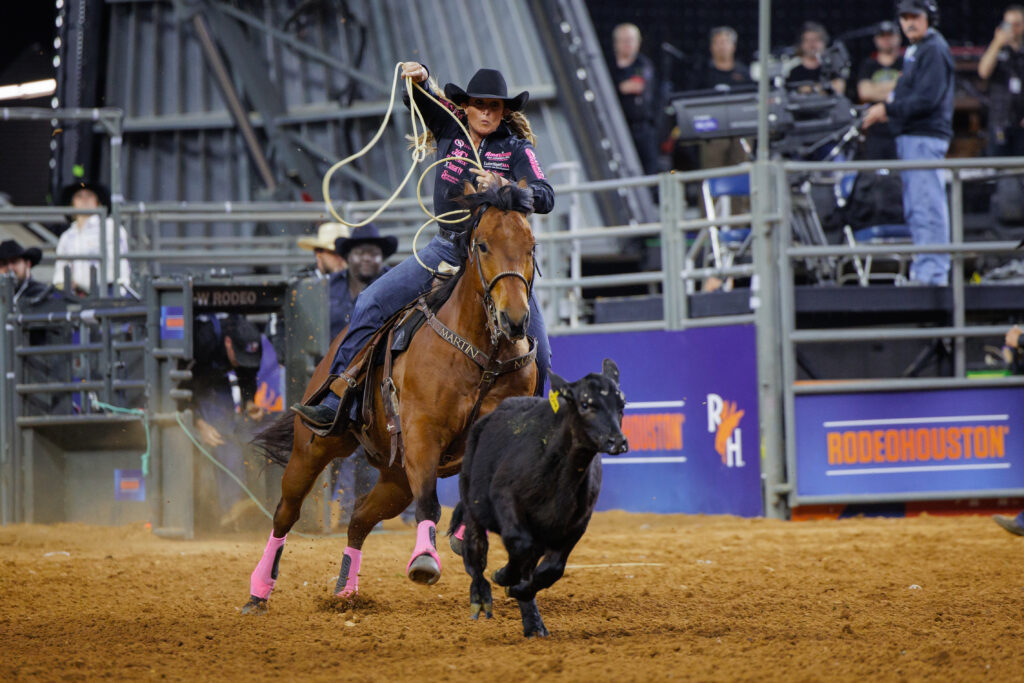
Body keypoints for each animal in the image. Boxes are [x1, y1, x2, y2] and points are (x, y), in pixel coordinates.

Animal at [242, 181, 540, 614]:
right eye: (483, 245)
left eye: (531, 246)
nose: (514, 319)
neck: (482, 357)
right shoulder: (422, 435)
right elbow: (430, 504)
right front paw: (425, 561)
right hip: (313, 450)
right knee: (286, 513)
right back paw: (259, 591)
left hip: (395, 477)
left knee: (359, 519)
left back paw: (346, 591)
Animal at [450, 360, 626, 638]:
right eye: (585, 404)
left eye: (622, 405)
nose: (617, 441)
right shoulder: (505, 497)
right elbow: (519, 544)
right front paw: (502, 576)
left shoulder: (577, 524)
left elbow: (551, 569)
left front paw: (520, 589)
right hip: (472, 504)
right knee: (475, 551)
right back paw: (481, 596)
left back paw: (533, 624)